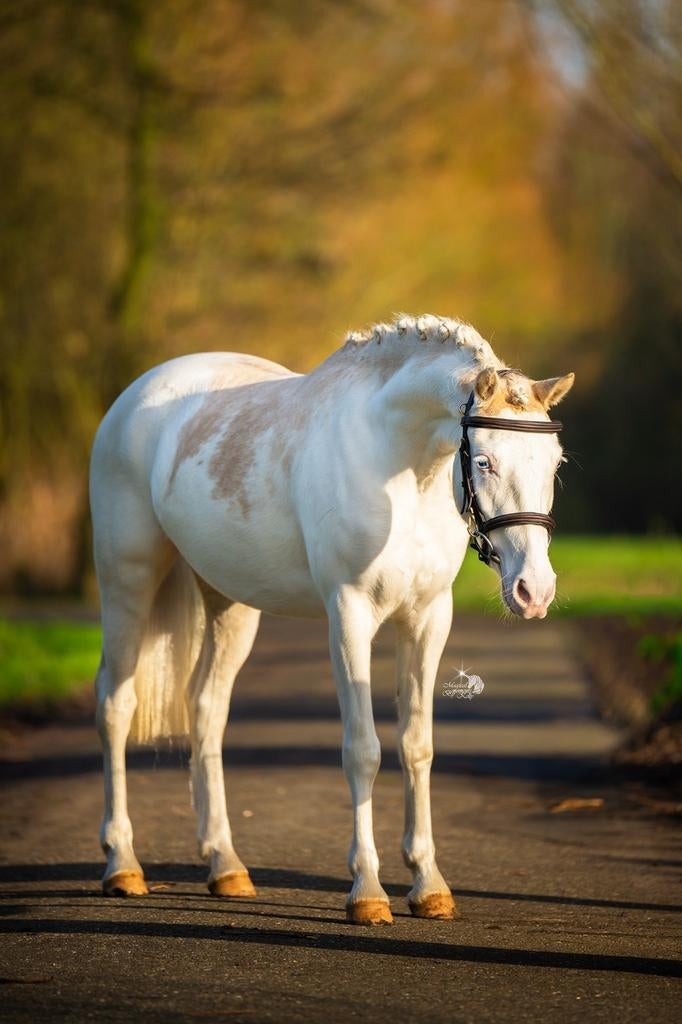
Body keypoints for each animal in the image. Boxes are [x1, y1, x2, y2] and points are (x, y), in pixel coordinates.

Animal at [89, 313, 574, 925]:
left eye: (554, 463)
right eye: (484, 461)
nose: (534, 590)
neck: (399, 467)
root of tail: (134, 398)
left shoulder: (428, 619)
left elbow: (417, 745)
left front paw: (429, 884)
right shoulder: (349, 615)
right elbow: (363, 751)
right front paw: (367, 892)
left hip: (229, 605)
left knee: (206, 711)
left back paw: (226, 867)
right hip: (126, 583)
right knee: (116, 707)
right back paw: (123, 865)